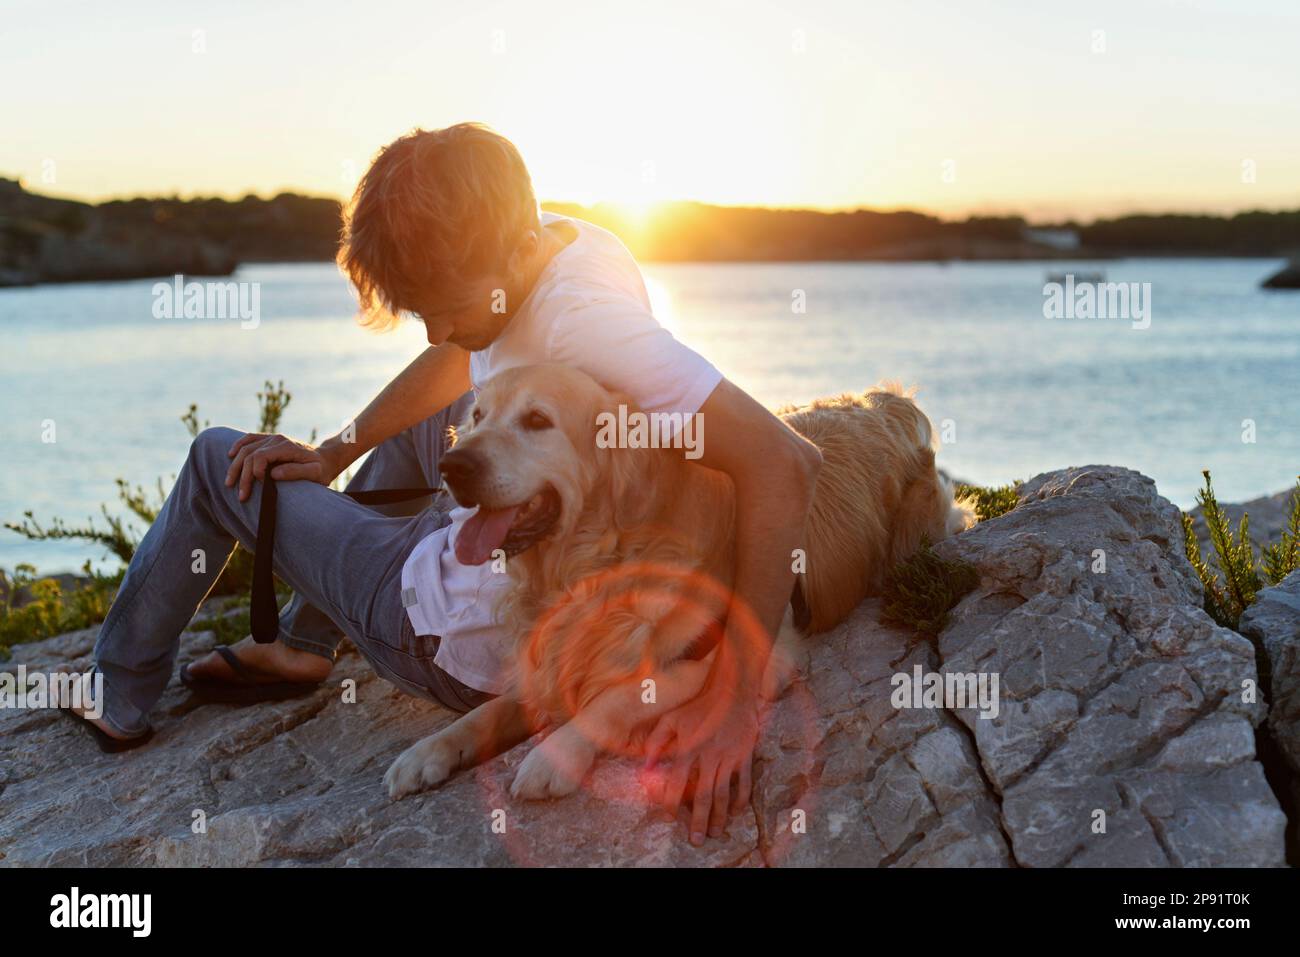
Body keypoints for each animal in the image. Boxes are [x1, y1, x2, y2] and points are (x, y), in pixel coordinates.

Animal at [384, 361, 977, 806]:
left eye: (536, 419)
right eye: (477, 416)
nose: (452, 465)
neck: (588, 569)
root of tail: (888, 402)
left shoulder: (748, 654)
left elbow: (619, 698)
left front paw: (554, 756)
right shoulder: (549, 658)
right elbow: (487, 711)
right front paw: (427, 752)